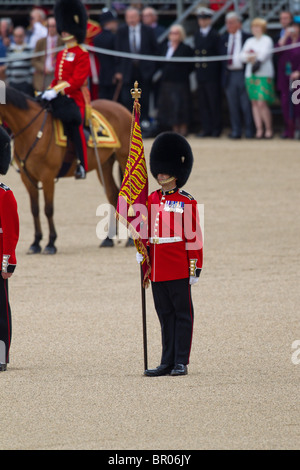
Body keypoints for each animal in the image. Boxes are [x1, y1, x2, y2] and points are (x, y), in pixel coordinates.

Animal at [0, 88, 132, 255]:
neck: (31, 130)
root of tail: (121, 108)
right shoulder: (27, 178)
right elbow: (34, 210)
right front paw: (36, 243)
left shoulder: (47, 177)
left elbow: (48, 209)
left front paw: (51, 243)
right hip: (105, 164)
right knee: (113, 194)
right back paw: (108, 239)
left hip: (124, 158)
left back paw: (131, 239)